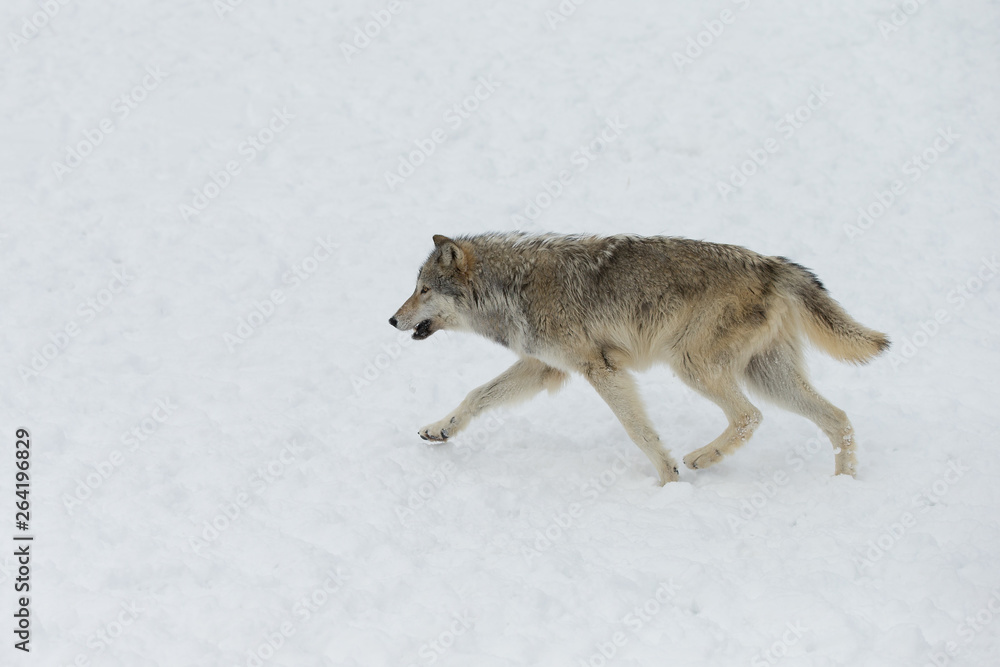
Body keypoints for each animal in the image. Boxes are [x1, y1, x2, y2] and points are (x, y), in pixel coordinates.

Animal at [389, 233, 889, 484]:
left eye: (423, 289)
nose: (392, 319)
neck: (512, 288)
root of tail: (771, 263)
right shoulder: (543, 367)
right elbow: (476, 396)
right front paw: (439, 430)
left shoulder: (599, 367)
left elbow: (638, 430)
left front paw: (668, 480)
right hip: (765, 375)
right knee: (837, 418)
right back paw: (844, 486)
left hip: (692, 364)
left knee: (750, 416)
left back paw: (702, 459)